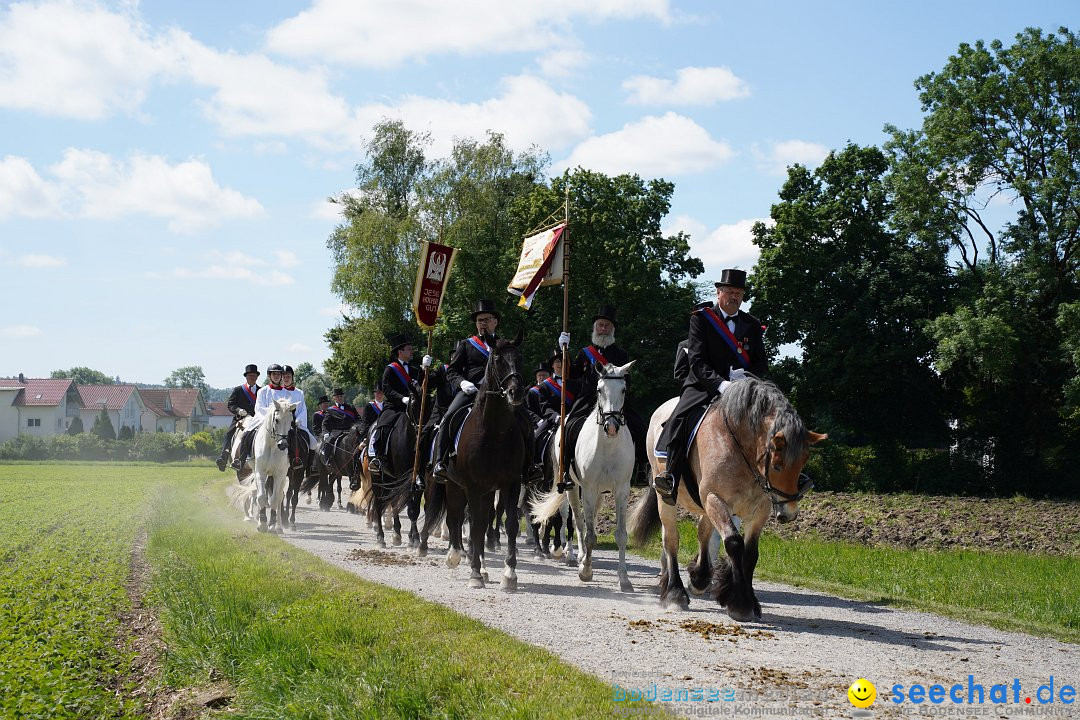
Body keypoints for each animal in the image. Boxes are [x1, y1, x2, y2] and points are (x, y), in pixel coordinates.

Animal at [440, 332, 529, 591]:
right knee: (456, 516)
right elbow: (475, 525)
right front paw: (474, 574)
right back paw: (456, 555)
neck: (494, 431)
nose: (515, 393)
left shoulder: (511, 483)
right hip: (454, 485)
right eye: (497, 358)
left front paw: (509, 574)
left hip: (488, 491)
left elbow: (509, 525)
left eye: (520, 357)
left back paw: (483, 566)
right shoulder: (472, 486)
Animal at [529, 360, 630, 591]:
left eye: (623, 389)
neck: (608, 446)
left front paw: (624, 578)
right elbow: (589, 533)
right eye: (599, 390)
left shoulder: (621, 490)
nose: (612, 426)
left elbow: (621, 535)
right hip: (573, 487)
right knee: (575, 518)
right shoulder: (589, 489)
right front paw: (586, 571)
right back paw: (573, 556)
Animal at [630, 379, 820, 621]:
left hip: (705, 506)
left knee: (703, 532)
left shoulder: (759, 510)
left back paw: (700, 578)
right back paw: (675, 593)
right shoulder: (715, 498)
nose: (789, 513)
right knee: (671, 538)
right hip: (668, 497)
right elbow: (734, 543)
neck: (742, 450)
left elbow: (751, 553)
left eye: (804, 460)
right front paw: (740, 604)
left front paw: (750, 602)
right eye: (777, 465)